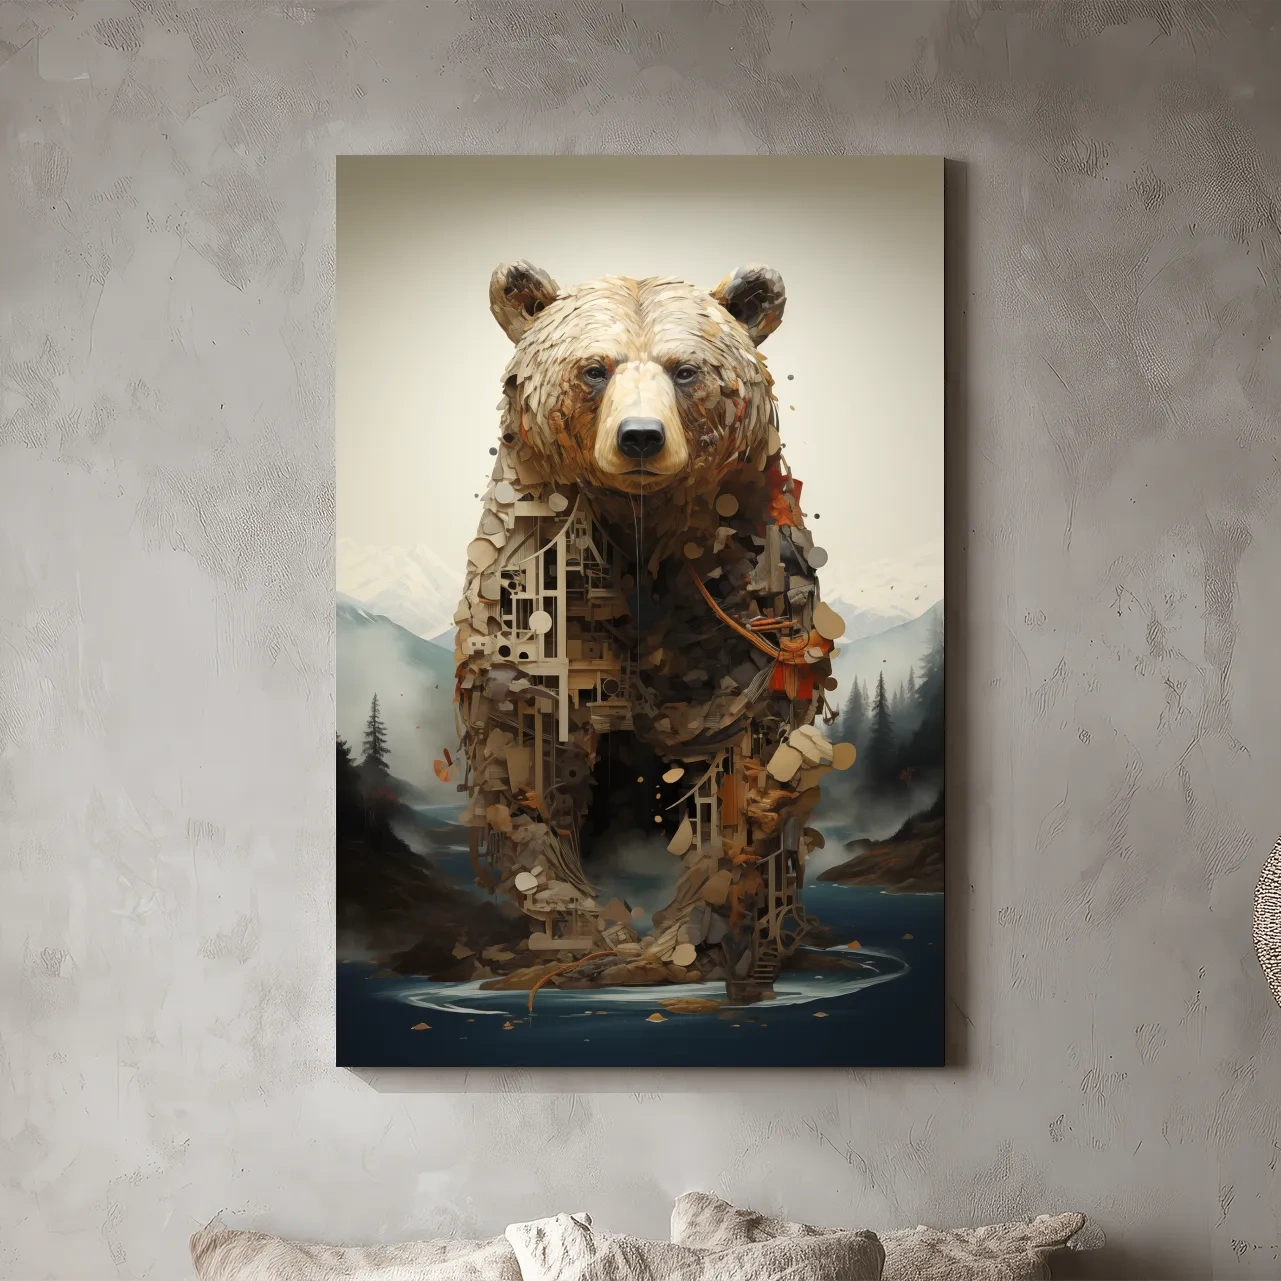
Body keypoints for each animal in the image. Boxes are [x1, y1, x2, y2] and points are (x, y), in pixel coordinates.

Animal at [444, 261, 854, 1001]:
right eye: (594, 368)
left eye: (683, 369)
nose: (640, 436)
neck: (640, 531)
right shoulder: (538, 599)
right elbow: (530, 762)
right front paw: (585, 940)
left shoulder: (738, 603)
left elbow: (737, 766)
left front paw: (681, 942)